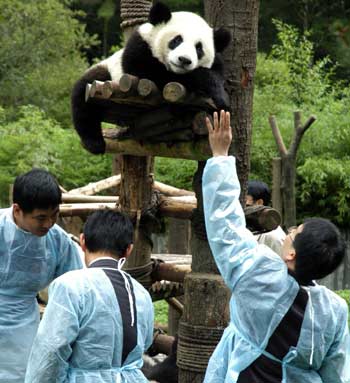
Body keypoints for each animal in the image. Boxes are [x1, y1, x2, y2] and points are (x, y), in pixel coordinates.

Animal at [71, 1, 230, 154]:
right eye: (176, 40)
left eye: (199, 48)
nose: (184, 60)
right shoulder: (139, 49)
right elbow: (152, 73)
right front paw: (206, 84)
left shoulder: (217, 62)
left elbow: (217, 76)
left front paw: (219, 97)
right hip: (106, 75)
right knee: (83, 97)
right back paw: (94, 143)